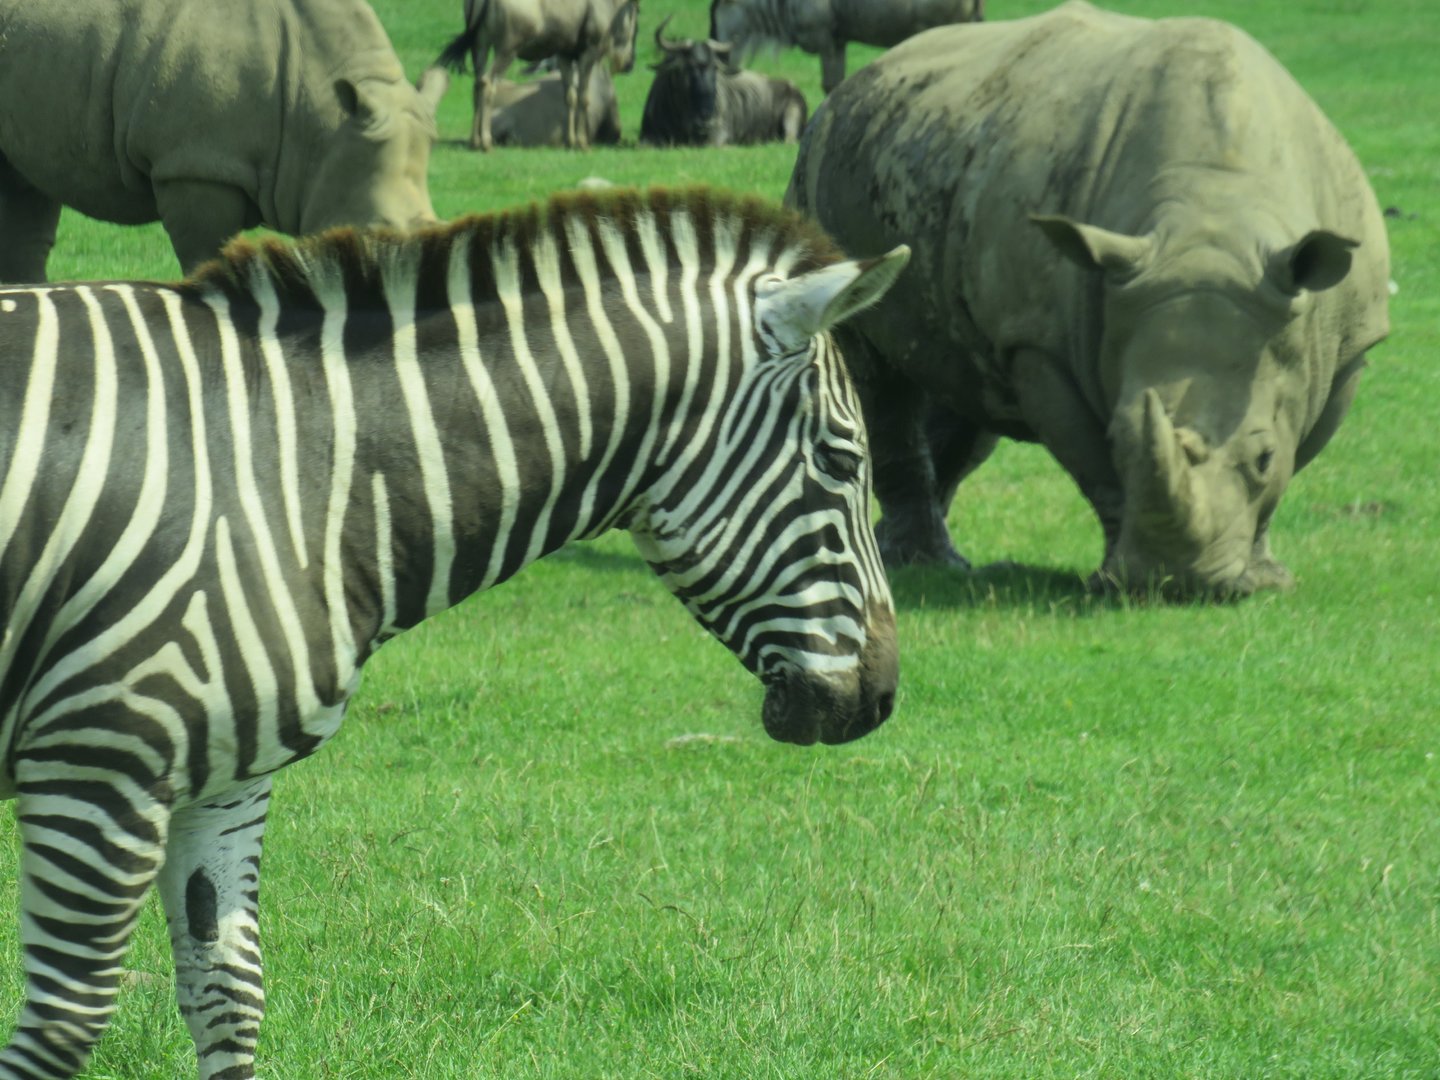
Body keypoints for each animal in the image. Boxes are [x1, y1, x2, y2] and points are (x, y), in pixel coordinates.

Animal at [0, 185, 905, 1079]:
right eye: (842, 461)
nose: (882, 699)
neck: (303, 472)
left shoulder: (219, 779)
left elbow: (229, 993)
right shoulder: (100, 766)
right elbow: (66, 1023)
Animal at [786, 1, 1390, 597]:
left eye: (1263, 457)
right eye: (1119, 438)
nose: (1181, 584)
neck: (1216, 211)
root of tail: (855, 84)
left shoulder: (1348, 345)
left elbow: (1297, 456)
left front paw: (1266, 580)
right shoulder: (1038, 342)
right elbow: (1092, 460)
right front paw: (1118, 579)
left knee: (963, 381)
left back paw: (921, 560)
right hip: (823, 176)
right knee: (876, 371)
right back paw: (923, 563)